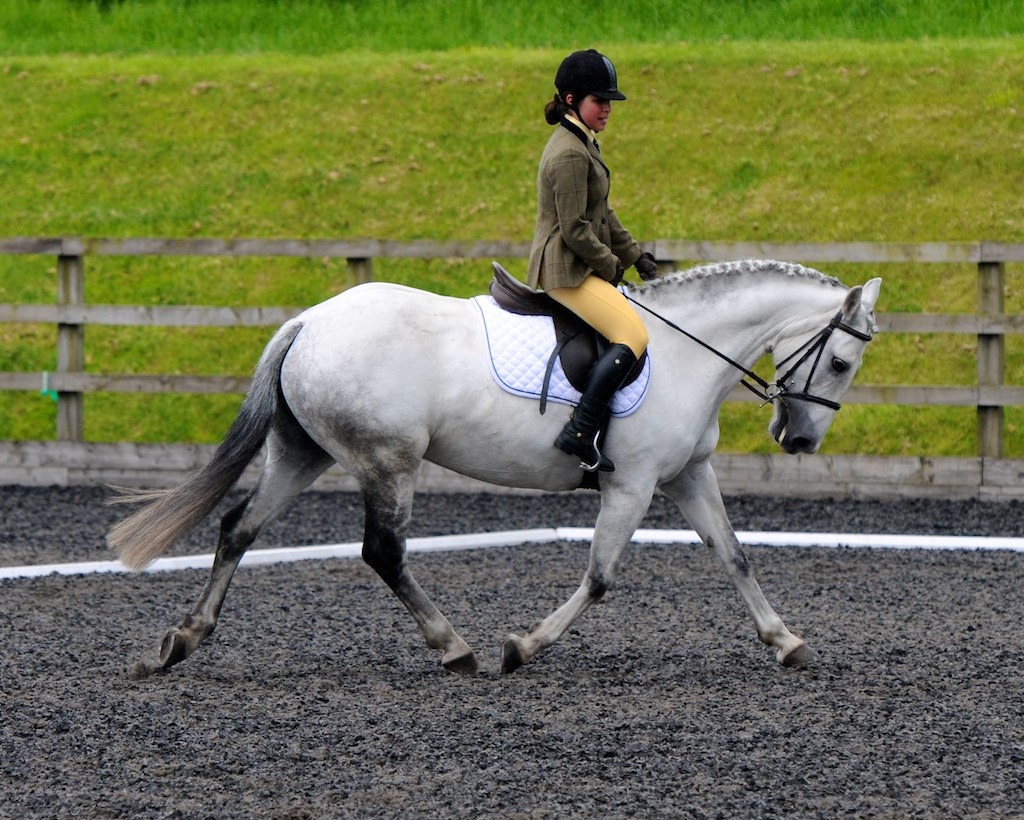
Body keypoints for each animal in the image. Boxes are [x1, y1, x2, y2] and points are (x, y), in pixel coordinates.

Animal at [110, 261, 880, 679]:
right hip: (388, 460)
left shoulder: (688, 474)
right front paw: (524, 647)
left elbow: (734, 555)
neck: (689, 352)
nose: (798, 439)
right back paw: (455, 649)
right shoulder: (631, 483)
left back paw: (183, 640)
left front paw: (786, 642)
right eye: (842, 362)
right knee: (382, 551)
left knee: (239, 528)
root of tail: (309, 322)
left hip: (305, 452)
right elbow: (600, 577)